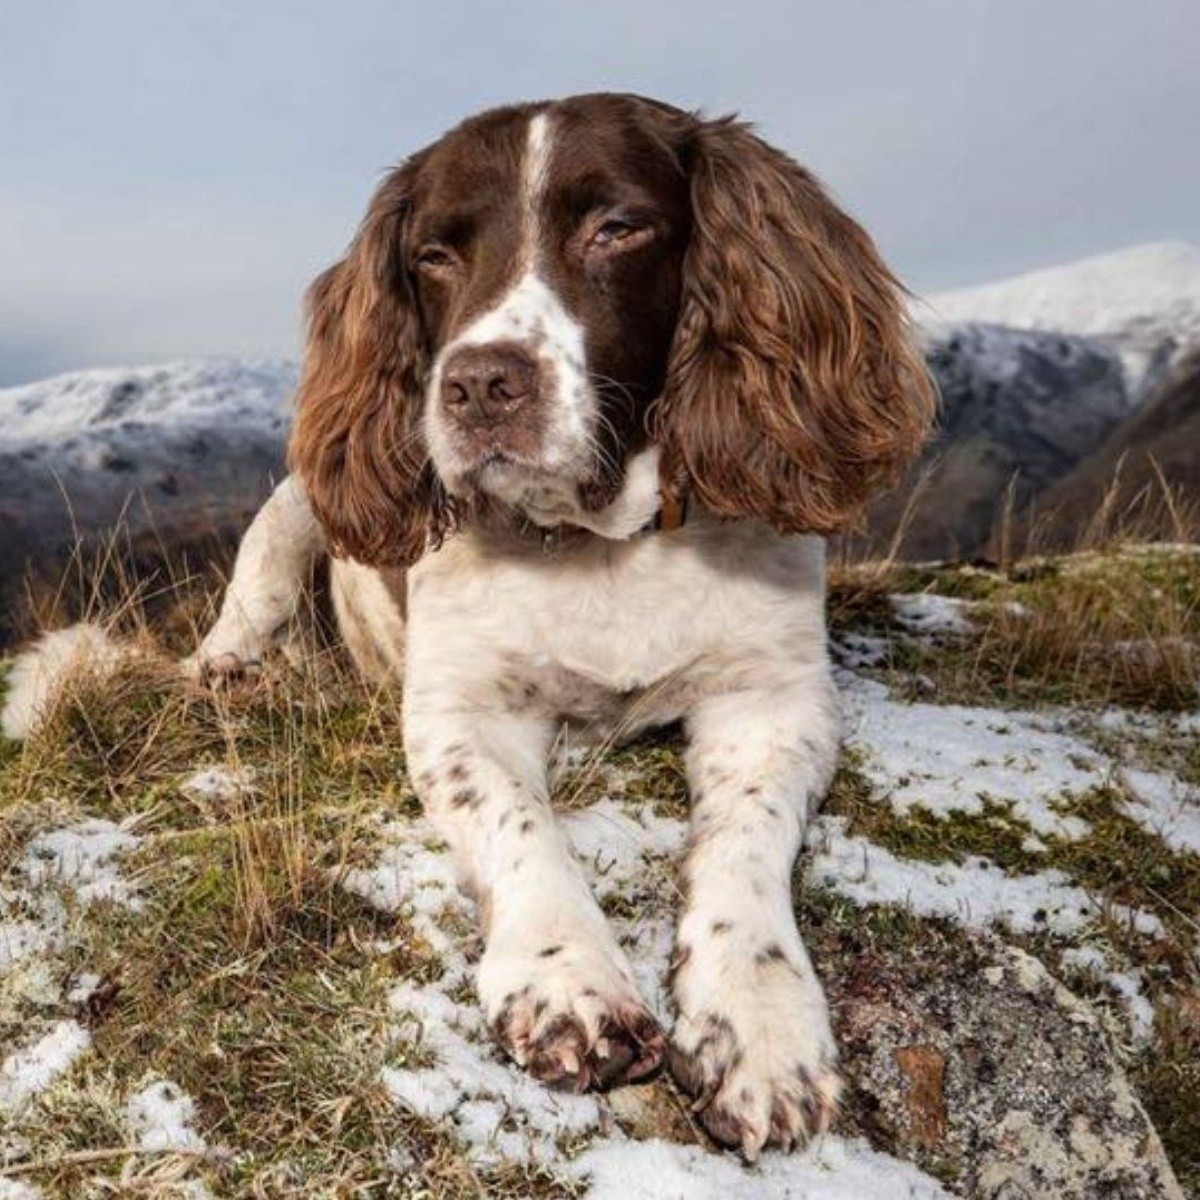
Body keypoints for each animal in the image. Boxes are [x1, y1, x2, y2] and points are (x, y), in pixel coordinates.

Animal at [189, 88, 936, 1156]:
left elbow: (744, 843)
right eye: (433, 254)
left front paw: (758, 1026)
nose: (478, 385)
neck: (600, 545)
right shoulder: (460, 713)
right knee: (257, 588)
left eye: (616, 228)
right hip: (295, 509)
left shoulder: (777, 700)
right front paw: (567, 981)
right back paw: (236, 670)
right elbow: (519, 824)